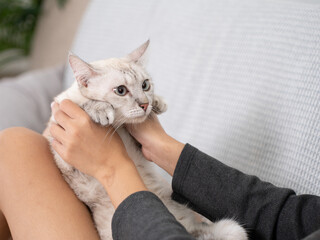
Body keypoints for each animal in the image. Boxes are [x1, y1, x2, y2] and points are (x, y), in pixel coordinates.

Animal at [47, 40, 248, 240]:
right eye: (121, 90)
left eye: (145, 85)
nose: (144, 104)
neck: (119, 128)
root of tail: (191, 231)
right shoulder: (70, 167)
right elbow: (83, 104)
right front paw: (100, 110)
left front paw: (158, 103)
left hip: (233, 228)